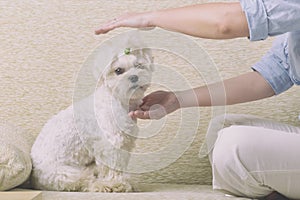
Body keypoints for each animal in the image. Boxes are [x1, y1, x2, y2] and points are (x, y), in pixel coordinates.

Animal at [30, 37, 154, 192]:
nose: (134, 77)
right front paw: (117, 183)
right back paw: (103, 185)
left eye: (139, 65)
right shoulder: (111, 143)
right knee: (86, 181)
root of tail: (34, 179)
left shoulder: (125, 143)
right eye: (118, 70)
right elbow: (113, 168)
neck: (117, 99)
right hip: (66, 173)